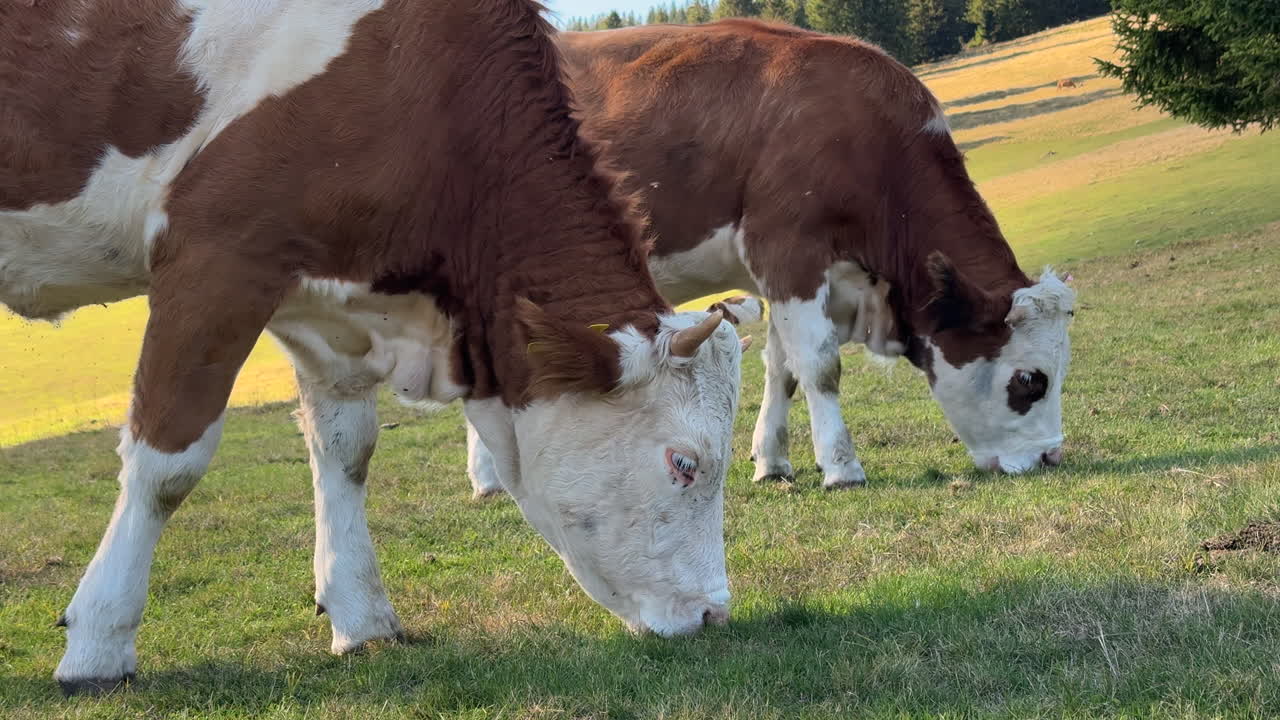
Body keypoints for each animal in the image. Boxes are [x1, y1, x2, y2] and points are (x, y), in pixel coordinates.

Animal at [1, 0, 752, 695]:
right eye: (684, 464)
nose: (713, 616)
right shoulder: (215, 259)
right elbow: (167, 465)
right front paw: (98, 645)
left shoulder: (323, 294)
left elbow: (346, 447)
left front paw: (362, 619)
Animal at [465, 19, 1077, 497]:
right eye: (1031, 380)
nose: (1052, 457)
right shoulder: (788, 252)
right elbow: (821, 366)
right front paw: (842, 467)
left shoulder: (780, 275)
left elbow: (784, 369)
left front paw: (772, 462)